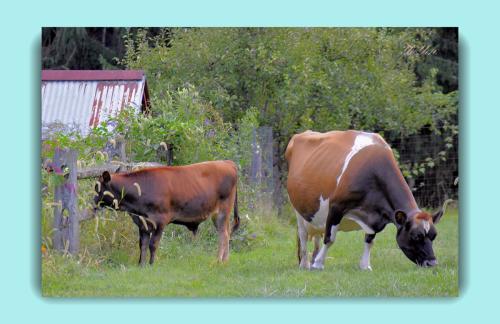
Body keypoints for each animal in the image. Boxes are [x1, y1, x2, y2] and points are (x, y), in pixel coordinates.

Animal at [92, 161, 240, 266]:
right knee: (226, 233)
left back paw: (218, 261)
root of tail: (227, 162)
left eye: (98, 188)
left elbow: (153, 244)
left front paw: (151, 264)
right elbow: (142, 244)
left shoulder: (160, 221)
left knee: (223, 235)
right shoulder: (142, 223)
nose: (93, 201)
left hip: (222, 211)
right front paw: (141, 265)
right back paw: (224, 260)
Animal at [286, 130, 450, 270]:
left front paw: (365, 266)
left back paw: (313, 258)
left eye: (434, 236)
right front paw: (318, 264)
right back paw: (305, 264)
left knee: (316, 235)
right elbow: (330, 238)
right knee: (303, 235)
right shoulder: (336, 206)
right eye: (416, 236)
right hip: (298, 209)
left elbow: (369, 240)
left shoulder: (375, 216)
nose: (432, 263)